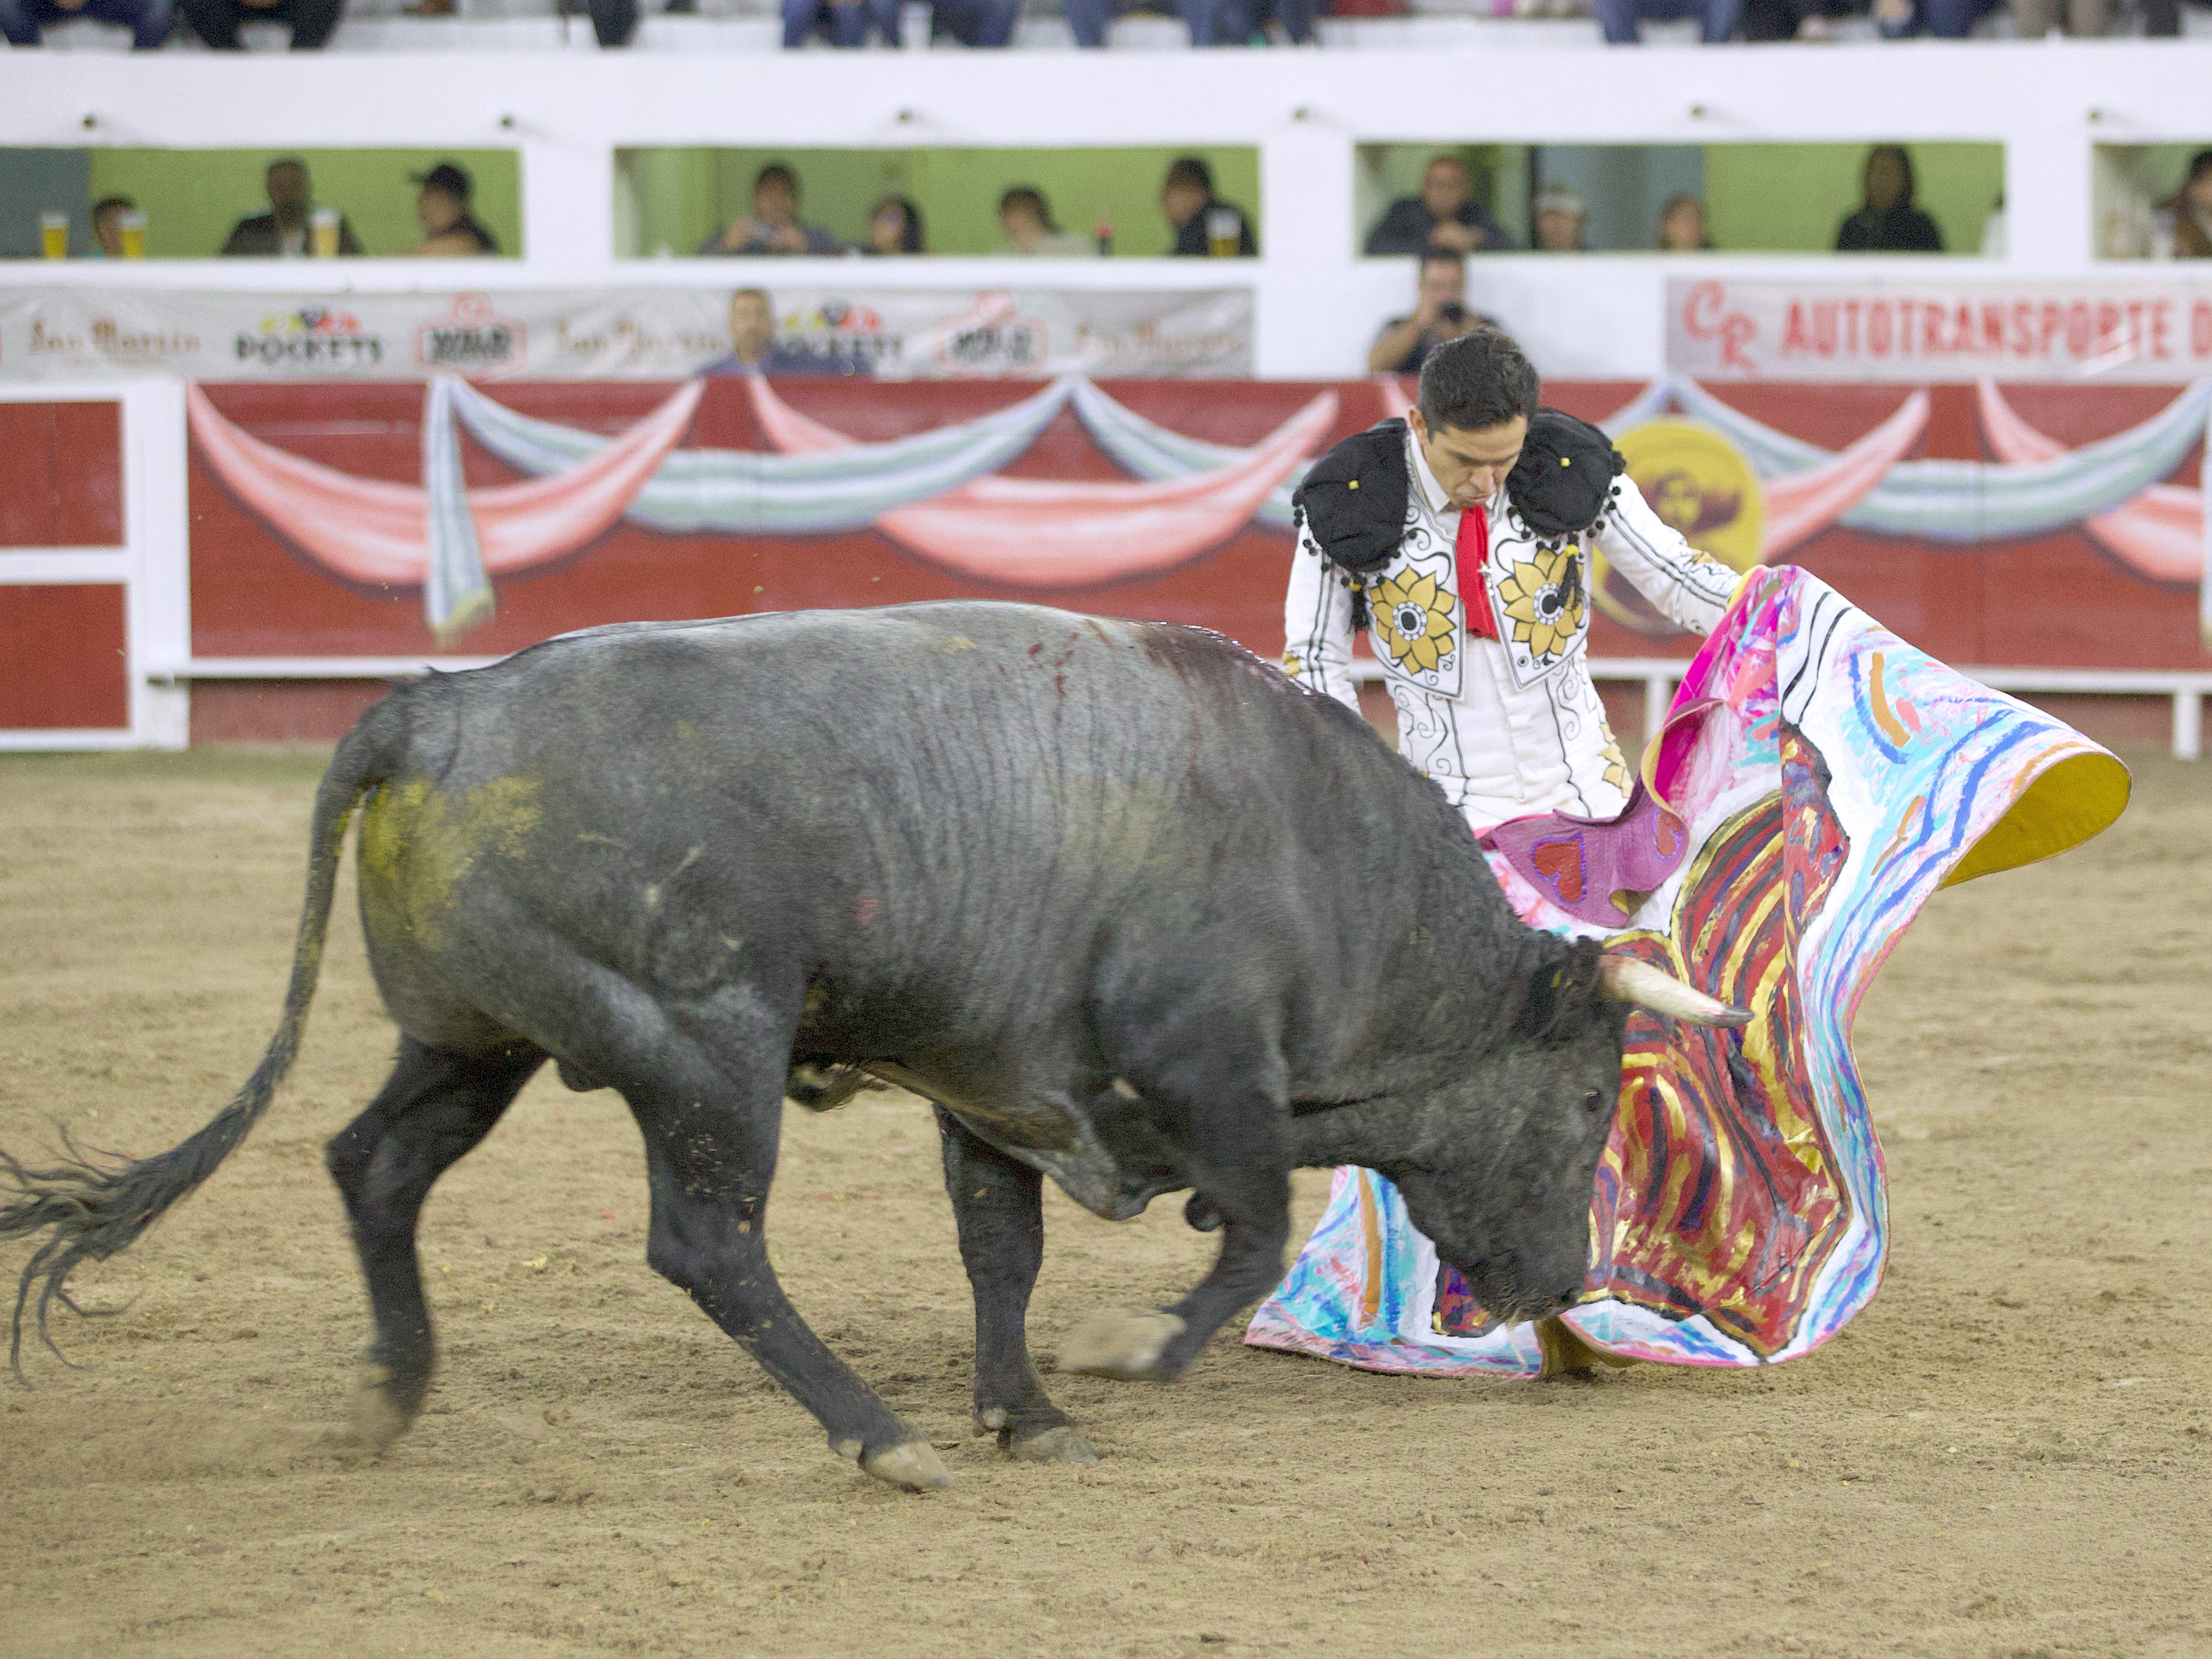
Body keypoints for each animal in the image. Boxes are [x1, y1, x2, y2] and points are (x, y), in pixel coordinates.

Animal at [0, 601, 1734, 1495]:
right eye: (1592, 1091)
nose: (1562, 1278)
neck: (1337, 871)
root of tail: (430, 711)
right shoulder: (1208, 1066)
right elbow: (1244, 1230)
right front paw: (1127, 1354)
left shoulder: (993, 1087)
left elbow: (1000, 1249)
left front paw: (1024, 1407)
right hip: (702, 1048)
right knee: (707, 1242)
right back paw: (876, 1435)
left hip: (470, 1038)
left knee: (374, 1164)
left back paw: (389, 1389)